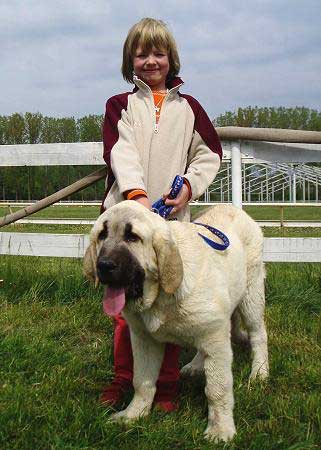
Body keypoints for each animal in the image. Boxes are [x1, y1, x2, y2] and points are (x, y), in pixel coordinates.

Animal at [84, 201, 268, 442]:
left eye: (132, 237)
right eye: (102, 235)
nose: (104, 265)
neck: (159, 295)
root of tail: (229, 206)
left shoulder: (215, 338)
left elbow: (217, 388)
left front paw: (220, 429)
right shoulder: (144, 340)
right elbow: (142, 381)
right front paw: (134, 414)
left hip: (251, 295)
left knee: (259, 335)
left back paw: (260, 372)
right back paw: (196, 365)